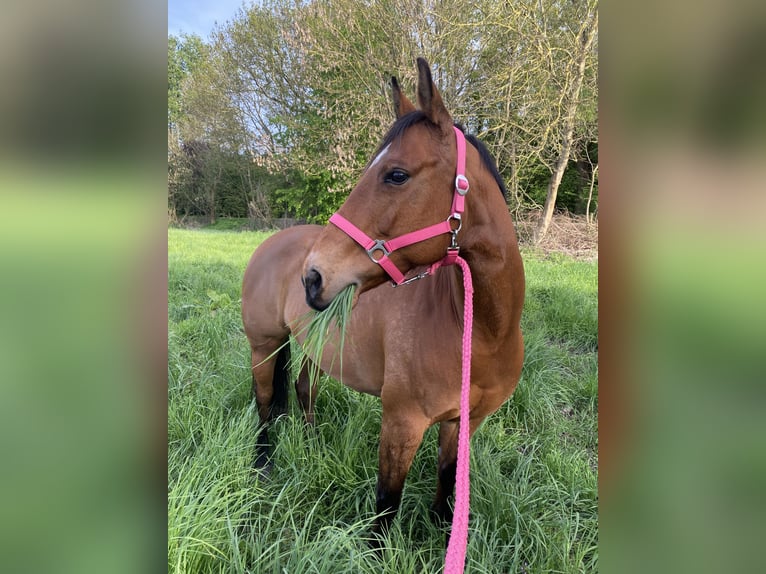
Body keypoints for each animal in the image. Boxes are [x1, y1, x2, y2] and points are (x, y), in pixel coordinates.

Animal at [241, 58, 525, 537]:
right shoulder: (400, 423)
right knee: (264, 405)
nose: (312, 278)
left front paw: (440, 527)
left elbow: (448, 481)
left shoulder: (462, 423)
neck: (479, 333)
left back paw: (312, 445)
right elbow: (386, 504)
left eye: (396, 174)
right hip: (265, 347)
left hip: (315, 346)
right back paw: (263, 466)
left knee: (303, 390)